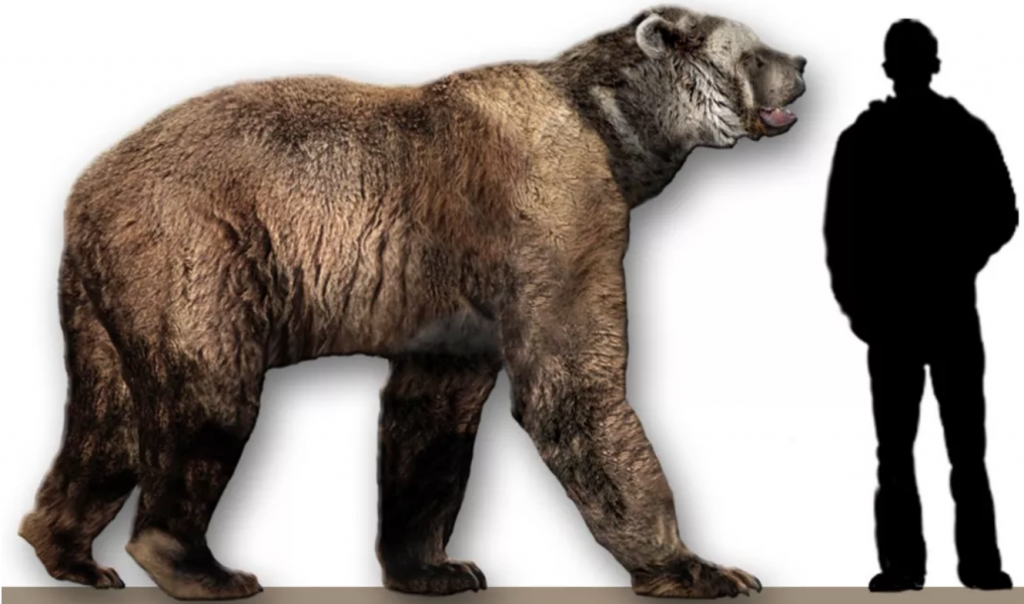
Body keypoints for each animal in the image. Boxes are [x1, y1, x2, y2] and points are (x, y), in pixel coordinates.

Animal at [18, 5, 806, 600]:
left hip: (103, 288)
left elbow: (431, 413)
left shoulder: (455, 293)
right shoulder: (553, 211)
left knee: (108, 417)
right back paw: (196, 565)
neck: (610, 127)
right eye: (753, 49)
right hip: (195, 251)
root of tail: (83, 189)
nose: (801, 64)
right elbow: (573, 389)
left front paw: (438, 566)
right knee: (204, 396)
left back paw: (68, 552)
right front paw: (706, 568)